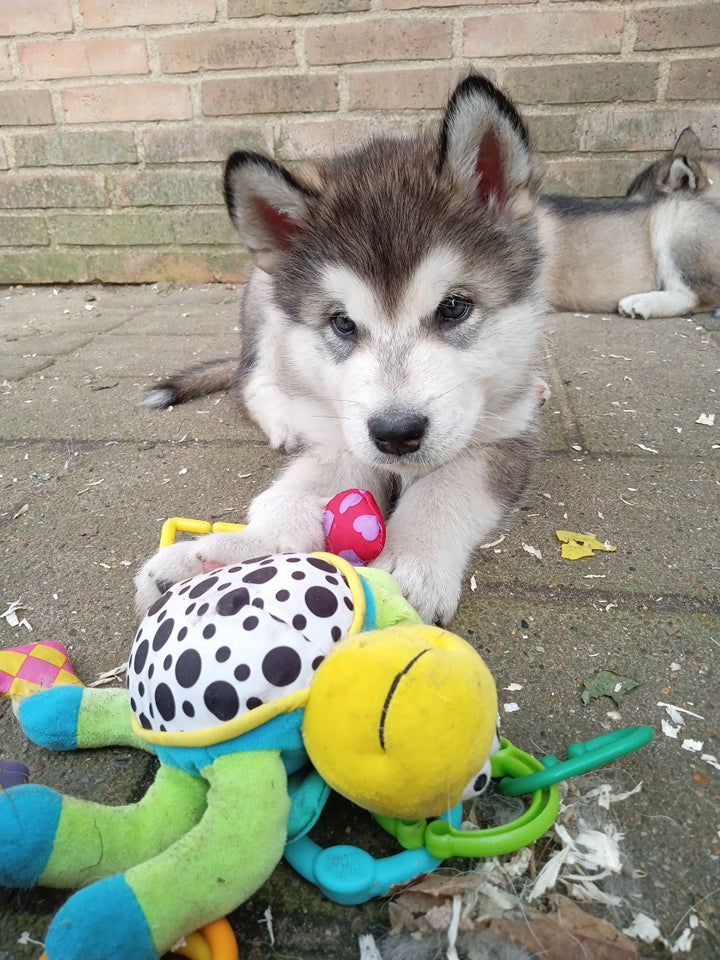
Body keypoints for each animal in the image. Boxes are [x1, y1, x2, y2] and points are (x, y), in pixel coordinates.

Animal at [136, 79, 544, 628]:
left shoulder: (501, 435)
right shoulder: (339, 434)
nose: (396, 433)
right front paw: (233, 552)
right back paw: (283, 419)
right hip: (266, 305)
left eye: (455, 307)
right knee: (249, 380)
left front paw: (410, 565)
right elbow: (290, 497)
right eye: (342, 323)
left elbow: (445, 491)